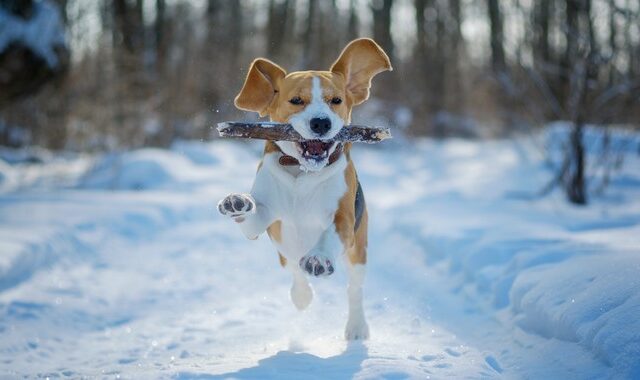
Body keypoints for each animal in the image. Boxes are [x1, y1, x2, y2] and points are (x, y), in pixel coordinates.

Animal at [219, 39, 390, 342]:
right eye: (296, 101)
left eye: (336, 101)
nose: (321, 123)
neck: (303, 172)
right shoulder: (264, 218)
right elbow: (251, 215)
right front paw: (237, 202)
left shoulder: (344, 220)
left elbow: (330, 235)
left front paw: (318, 258)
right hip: (284, 254)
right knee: (295, 271)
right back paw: (302, 296)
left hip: (358, 250)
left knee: (354, 289)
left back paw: (357, 326)